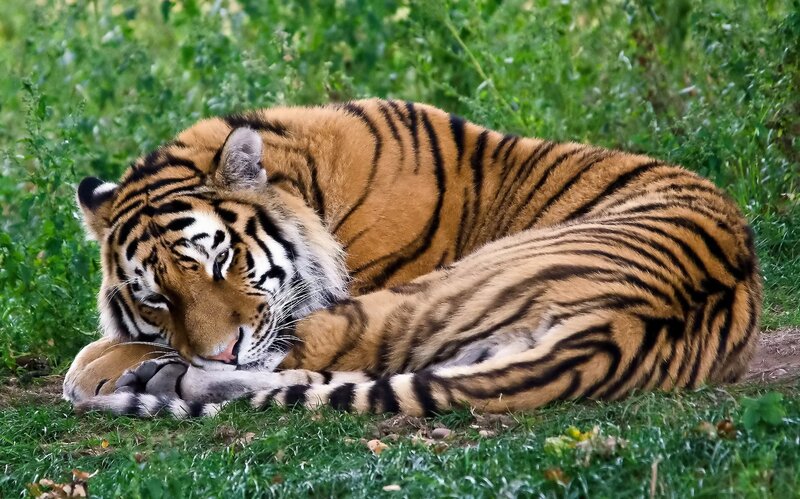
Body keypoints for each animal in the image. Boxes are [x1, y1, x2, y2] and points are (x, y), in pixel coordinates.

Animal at [63, 98, 762, 418]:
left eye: (219, 261)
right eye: (157, 297)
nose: (222, 350)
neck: (306, 183)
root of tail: (615, 329)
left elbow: (107, 348)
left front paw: (100, 369)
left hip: (418, 295)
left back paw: (151, 378)